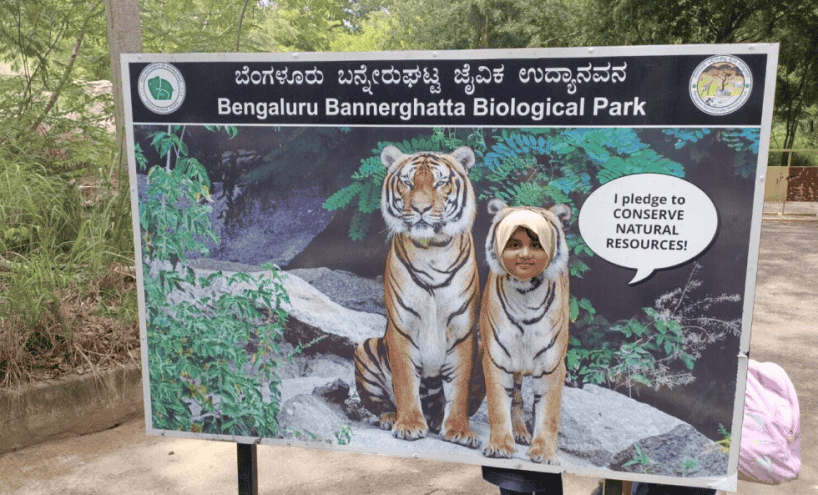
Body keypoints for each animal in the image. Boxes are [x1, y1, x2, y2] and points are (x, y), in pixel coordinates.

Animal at [352, 145, 482, 448]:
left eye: (440, 182)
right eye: (408, 183)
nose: (421, 208)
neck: (431, 249)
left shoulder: (462, 329)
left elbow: (459, 387)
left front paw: (459, 430)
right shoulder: (403, 326)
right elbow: (404, 381)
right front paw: (409, 424)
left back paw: (436, 420)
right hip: (365, 347)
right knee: (381, 403)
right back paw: (391, 417)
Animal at [478, 199, 568, 464]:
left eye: (537, 242)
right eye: (514, 243)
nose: (525, 257)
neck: (526, 292)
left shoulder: (553, 365)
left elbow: (549, 414)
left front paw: (545, 453)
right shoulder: (496, 359)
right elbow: (498, 406)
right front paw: (499, 446)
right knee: (516, 397)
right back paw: (518, 431)